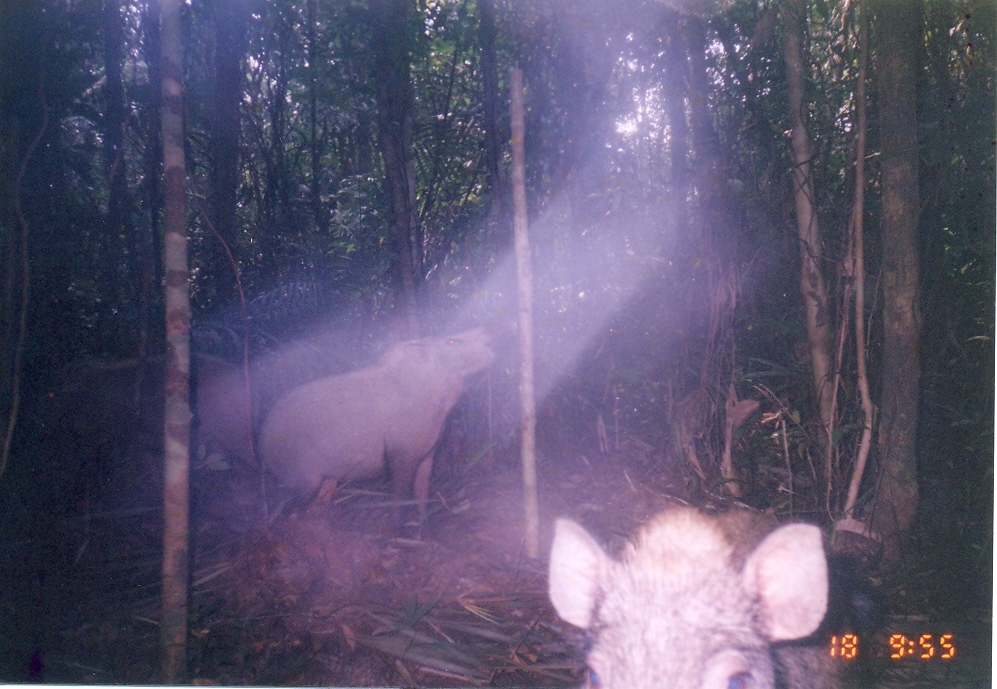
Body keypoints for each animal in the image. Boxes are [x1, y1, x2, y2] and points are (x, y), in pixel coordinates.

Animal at [255, 328, 492, 520]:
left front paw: (422, 529)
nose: (485, 330)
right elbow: (400, 497)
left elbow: (421, 495)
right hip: (302, 480)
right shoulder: (400, 455)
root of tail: (262, 445)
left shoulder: (428, 454)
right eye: (451, 341)